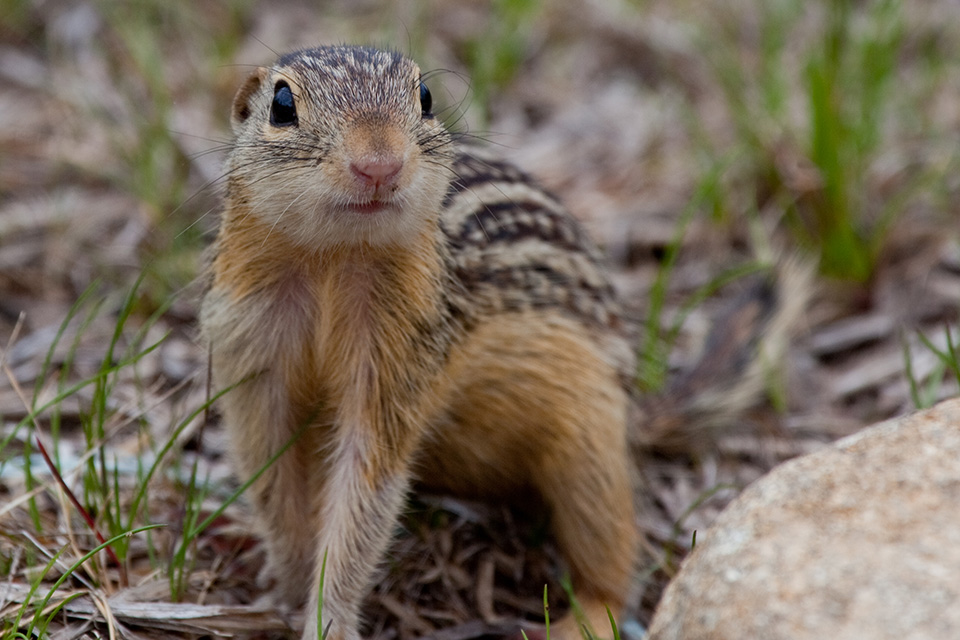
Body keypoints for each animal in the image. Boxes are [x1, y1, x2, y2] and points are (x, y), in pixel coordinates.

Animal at [200, 44, 806, 640]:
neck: (334, 261)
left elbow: (361, 502)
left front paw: (328, 618)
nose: (379, 163)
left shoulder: (398, 370)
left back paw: (576, 622)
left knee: (613, 567)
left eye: (425, 97)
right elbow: (273, 485)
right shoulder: (254, 366)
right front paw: (286, 585)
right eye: (282, 105)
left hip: (591, 453)